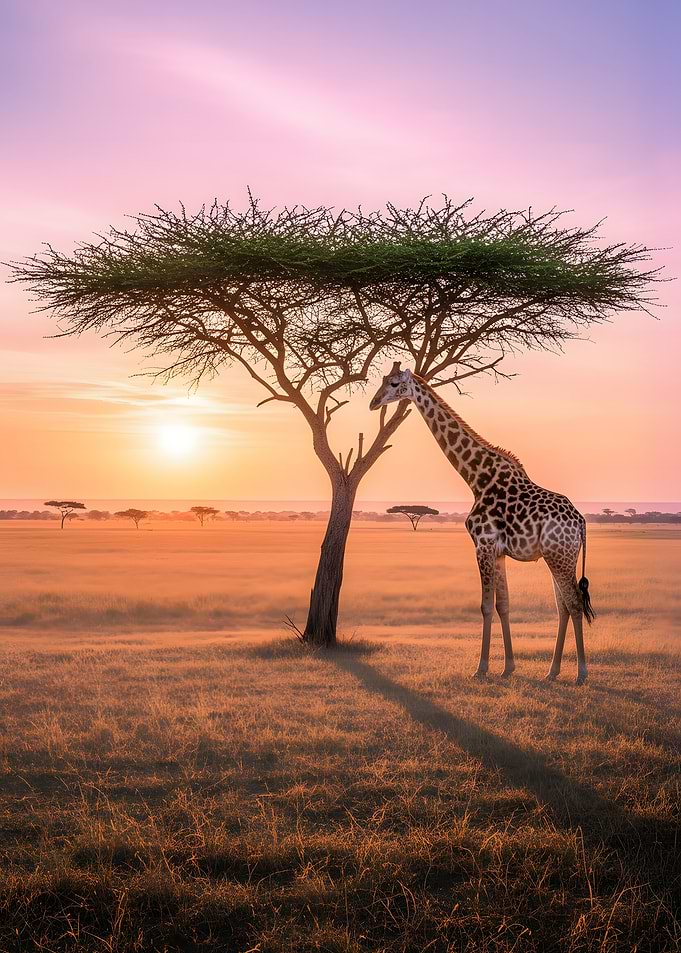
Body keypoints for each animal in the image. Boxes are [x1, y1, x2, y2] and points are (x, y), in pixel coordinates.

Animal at [370, 363, 594, 684]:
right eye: (383, 380)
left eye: (394, 383)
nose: (374, 402)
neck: (476, 478)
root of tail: (581, 523)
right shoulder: (498, 551)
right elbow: (503, 605)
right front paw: (508, 667)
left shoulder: (483, 544)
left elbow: (486, 606)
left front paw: (482, 667)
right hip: (559, 557)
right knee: (563, 606)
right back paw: (551, 672)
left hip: (559, 556)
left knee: (574, 603)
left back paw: (581, 673)